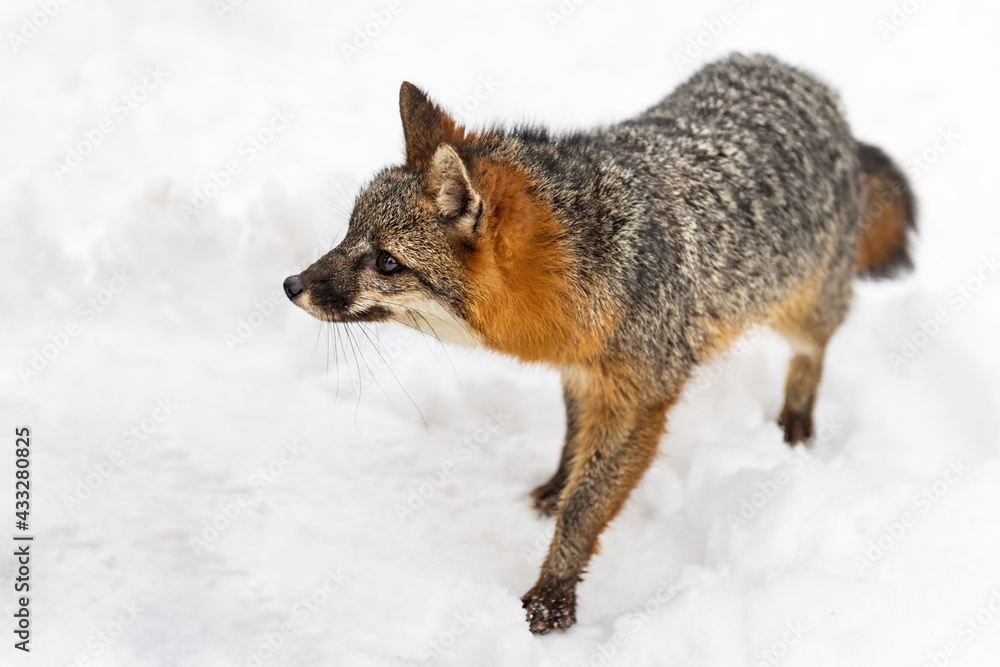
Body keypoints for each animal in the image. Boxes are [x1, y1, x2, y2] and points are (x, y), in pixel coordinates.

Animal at [283, 53, 916, 634]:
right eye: (347, 234)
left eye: (387, 262)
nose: (291, 286)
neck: (593, 264)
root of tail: (804, 78)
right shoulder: (582, 371)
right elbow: (572, 440)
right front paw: (557, 485)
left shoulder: (641, 398)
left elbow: (586, 510)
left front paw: (553, 595)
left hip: (803, 310)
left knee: (815, 351)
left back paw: (797, 421)